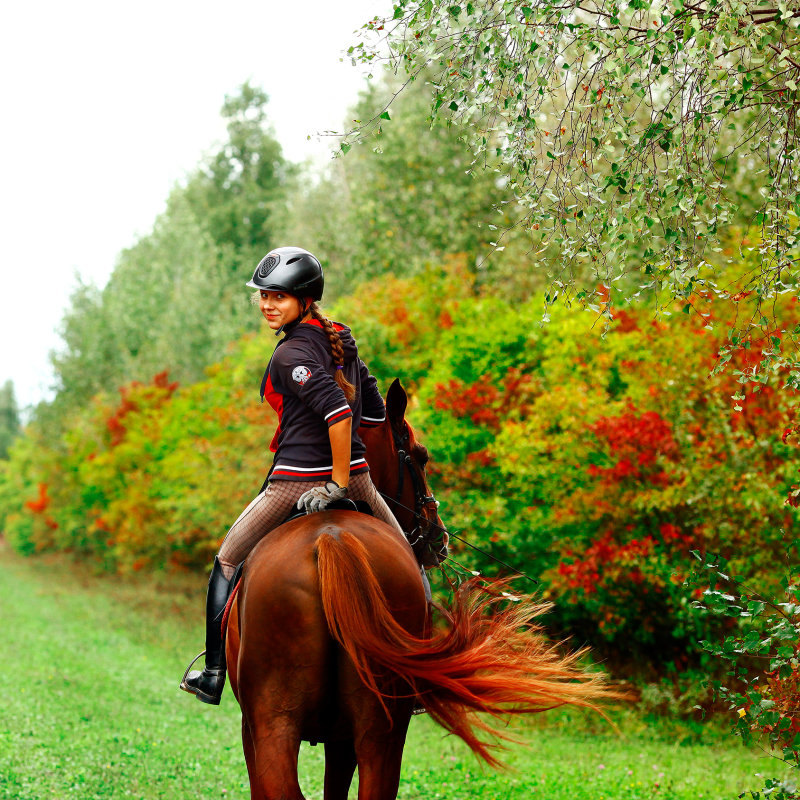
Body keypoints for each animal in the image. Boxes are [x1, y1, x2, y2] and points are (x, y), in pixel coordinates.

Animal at [222, 378, 608, 796]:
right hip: (376, 730)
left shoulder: (257, 729)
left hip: (280, 725)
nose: (439, 536)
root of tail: (331, 538)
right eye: (422, 457)